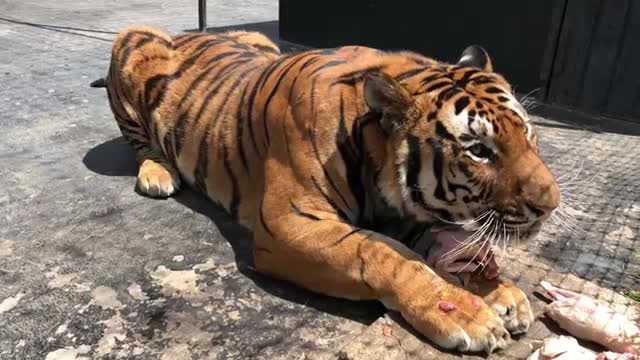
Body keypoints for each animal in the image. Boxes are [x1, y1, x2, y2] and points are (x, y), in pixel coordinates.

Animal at [91, 26, 560, 352]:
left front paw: (501, 293)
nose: (551, 205)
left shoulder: (403, 213)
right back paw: (158, 173)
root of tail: (192, 32)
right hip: (130, 42)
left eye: (527, 131)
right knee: (139, 142)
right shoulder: (288, 223)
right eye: (479, 150)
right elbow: (385, 255)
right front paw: (465, 313)